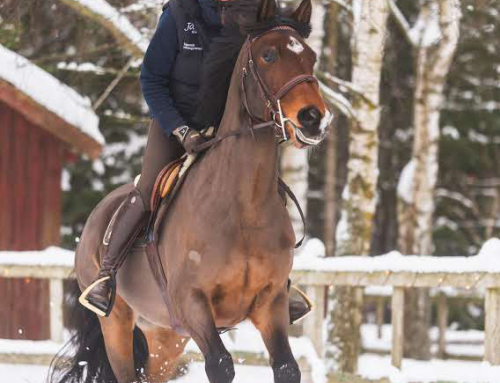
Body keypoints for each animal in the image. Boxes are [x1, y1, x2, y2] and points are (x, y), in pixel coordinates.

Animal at [47, 0, 330, 382]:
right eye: (268, 54)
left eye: (311, 57)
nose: (314, 118)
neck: (244, 206)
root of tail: (97, 215)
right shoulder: (193, 304)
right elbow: (221, 365)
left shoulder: (270, 303)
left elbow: (287, 367)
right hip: (118, 323)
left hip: (164, 335)